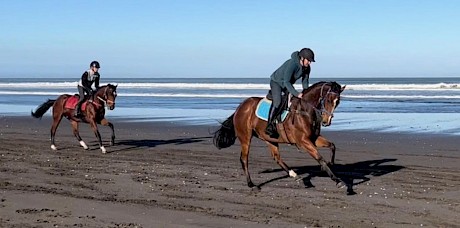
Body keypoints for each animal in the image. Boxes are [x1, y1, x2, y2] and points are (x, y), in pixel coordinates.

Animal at [212, 81, 344, 190]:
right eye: (328, 100)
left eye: (337, 102)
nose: (326, 121)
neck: (305, 111)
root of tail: (240, 107)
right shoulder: (303, 141)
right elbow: (319, 158)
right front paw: (338, 180)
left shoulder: (313, 138)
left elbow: (332, 146)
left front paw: (331, 164)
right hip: (245, 137)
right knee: (244, 159)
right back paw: (251, 184)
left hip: (269, 138)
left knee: (276, 157)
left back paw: (294, 174)